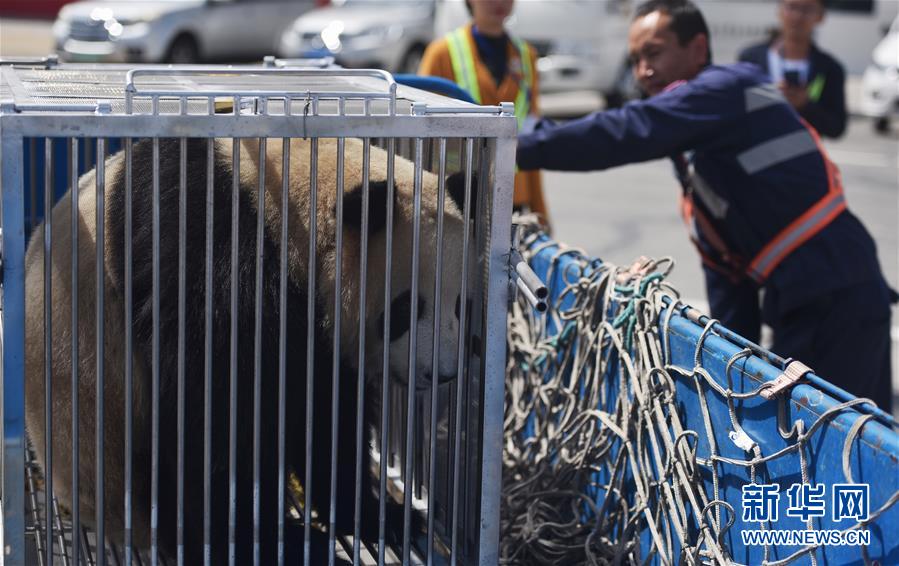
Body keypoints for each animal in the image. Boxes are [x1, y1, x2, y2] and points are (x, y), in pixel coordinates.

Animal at [24, 133, 478, 564]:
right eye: (405, 308)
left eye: (460, 304)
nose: (442, 373)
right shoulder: (208, 248)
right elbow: (219, 409)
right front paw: (251, 539)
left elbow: (326, 414)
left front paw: (383, 516)